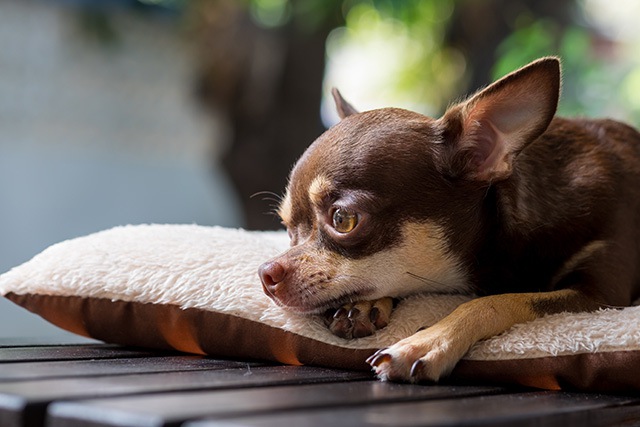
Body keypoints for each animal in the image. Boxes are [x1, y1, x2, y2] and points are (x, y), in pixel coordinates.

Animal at [256, 56, 640, 382]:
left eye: (343, 219)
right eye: (287, 228)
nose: (266, 273)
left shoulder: (601, 294)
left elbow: (498, 301)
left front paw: (426, 342)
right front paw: (363, 305)